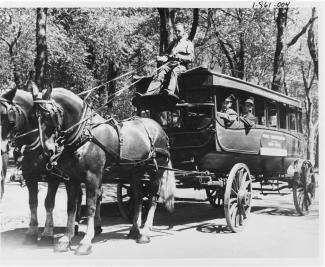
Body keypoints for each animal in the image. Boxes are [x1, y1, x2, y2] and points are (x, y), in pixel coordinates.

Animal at [31, 83, 175, 255]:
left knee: (152, 198)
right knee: (139, 198)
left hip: (156, 171)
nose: (48, 150)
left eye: (48, 114)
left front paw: (86, 241)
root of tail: (159, 128)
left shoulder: (93, 177)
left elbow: (91, 207)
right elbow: (71, 207)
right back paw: (134, 230)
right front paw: (66, 239)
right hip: (135, 172)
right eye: (34, 116)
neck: (84, 134)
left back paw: (145, 232)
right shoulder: (71, 179)